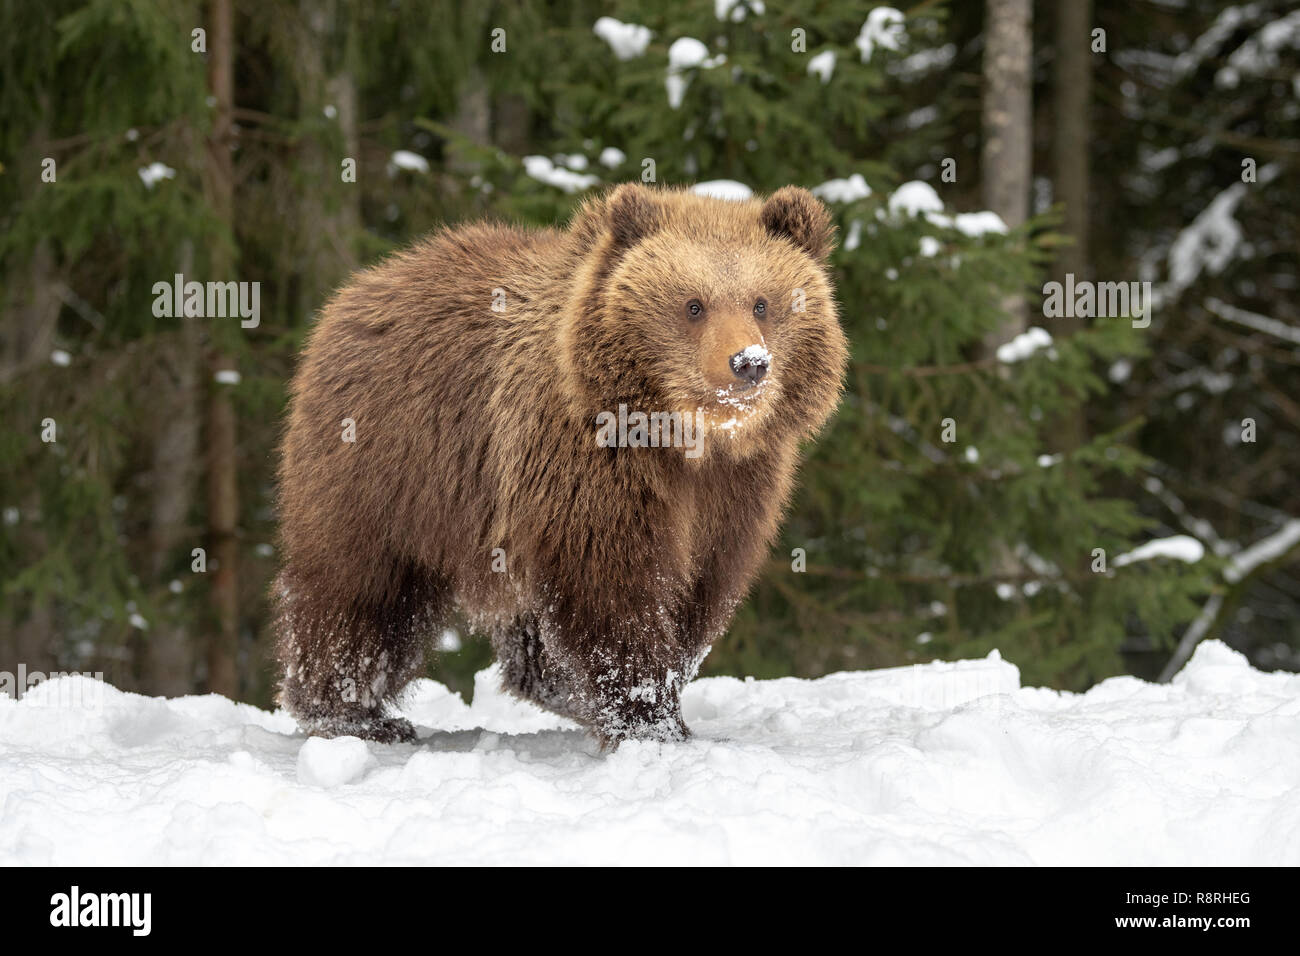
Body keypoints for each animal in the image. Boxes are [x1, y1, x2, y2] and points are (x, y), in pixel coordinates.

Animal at [273, 182, 848, 746]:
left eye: (761, 303)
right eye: (693, 305)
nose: (748, 363)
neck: (682, 437)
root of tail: (360, 288)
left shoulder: (736, 488)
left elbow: (702, 586)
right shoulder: (587, 463)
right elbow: (613, 584)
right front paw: (651, 719)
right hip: (387, 469)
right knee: (362, 589)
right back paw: (354, 712)